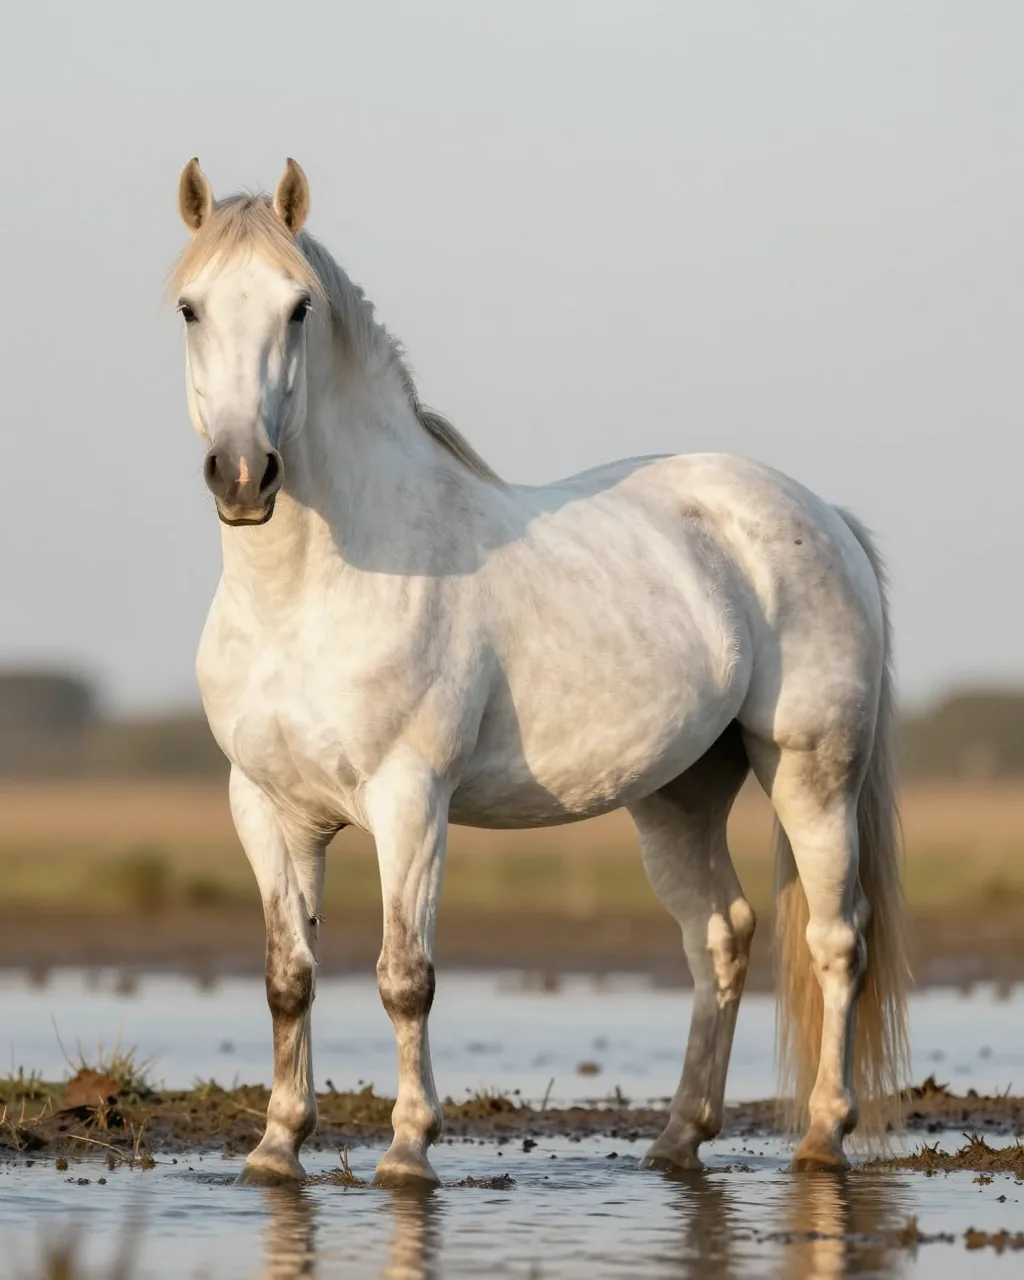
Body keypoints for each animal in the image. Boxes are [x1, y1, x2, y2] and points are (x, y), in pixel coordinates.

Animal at [170, 156, 910, 1189]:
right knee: (720, 935)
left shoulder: (411, 800)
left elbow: (405, 978)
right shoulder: (266, 808)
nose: (244, 476)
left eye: (298, 306)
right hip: (679, 792)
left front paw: (409, 1150)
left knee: (837, 941)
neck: (304, 598)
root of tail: (823, 513)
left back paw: (821, 1137)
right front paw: (276, 1148)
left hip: (812, 772)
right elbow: (289, 979)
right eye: (191, 307)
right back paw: (677, 1138)